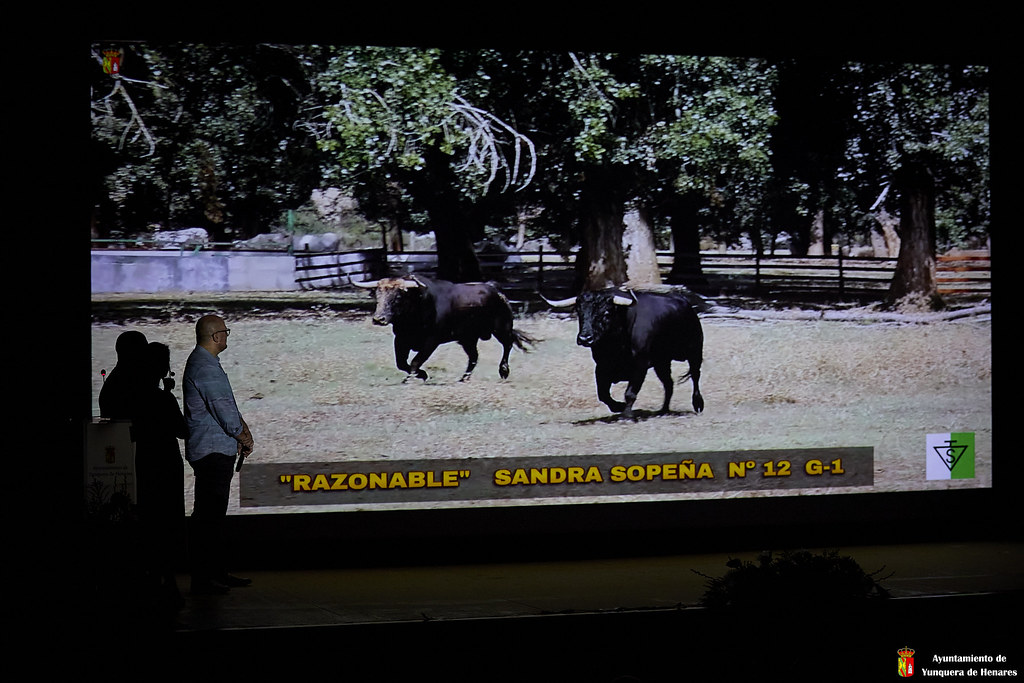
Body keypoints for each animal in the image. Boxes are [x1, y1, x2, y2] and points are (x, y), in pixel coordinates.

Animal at [356, 278, 536, 385]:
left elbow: (415, 361)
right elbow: (401, 363)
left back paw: (503, 370)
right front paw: (421, 375)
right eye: (377, 296)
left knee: (507, 344)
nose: (378, 319)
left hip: (501, 328)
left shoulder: (431, 341)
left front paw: (414, 378)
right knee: (474, 357)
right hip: (468, 338)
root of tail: (495, 289)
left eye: (398, 297)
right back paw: (464, 378)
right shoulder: (401, 339)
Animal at [544, 286, 704, 419]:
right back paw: (663, 410)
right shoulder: (601, 367)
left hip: (694, 352)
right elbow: (603, 394)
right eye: (579, 311)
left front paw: (626, 415)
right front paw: (618, 407)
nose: (585, 338)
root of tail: (685, 303)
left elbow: (630, 393)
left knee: (695, 376)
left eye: (606, 312)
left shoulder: (640, 366)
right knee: (668, 384)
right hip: (662, 362)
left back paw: (698, 404)